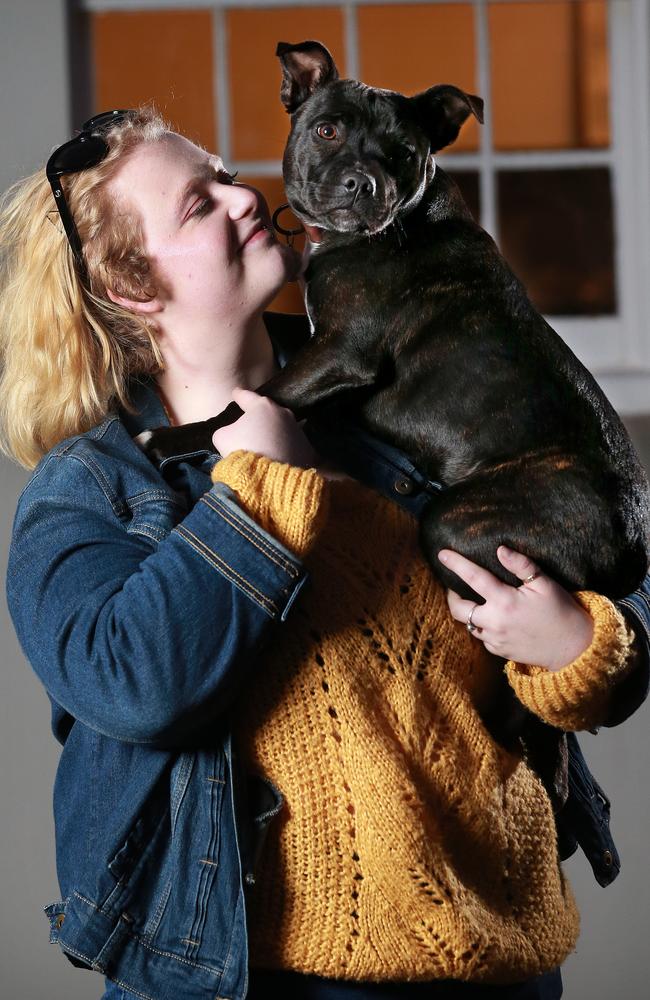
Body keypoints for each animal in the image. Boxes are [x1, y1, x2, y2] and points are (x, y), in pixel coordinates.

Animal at [140, 37, 644, 600]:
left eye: (405, 152)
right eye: (327, 131)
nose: (363, 183)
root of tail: (630, 551)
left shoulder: (338, 353)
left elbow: (241, 405)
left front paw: (172, 441)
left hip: (454, 524)